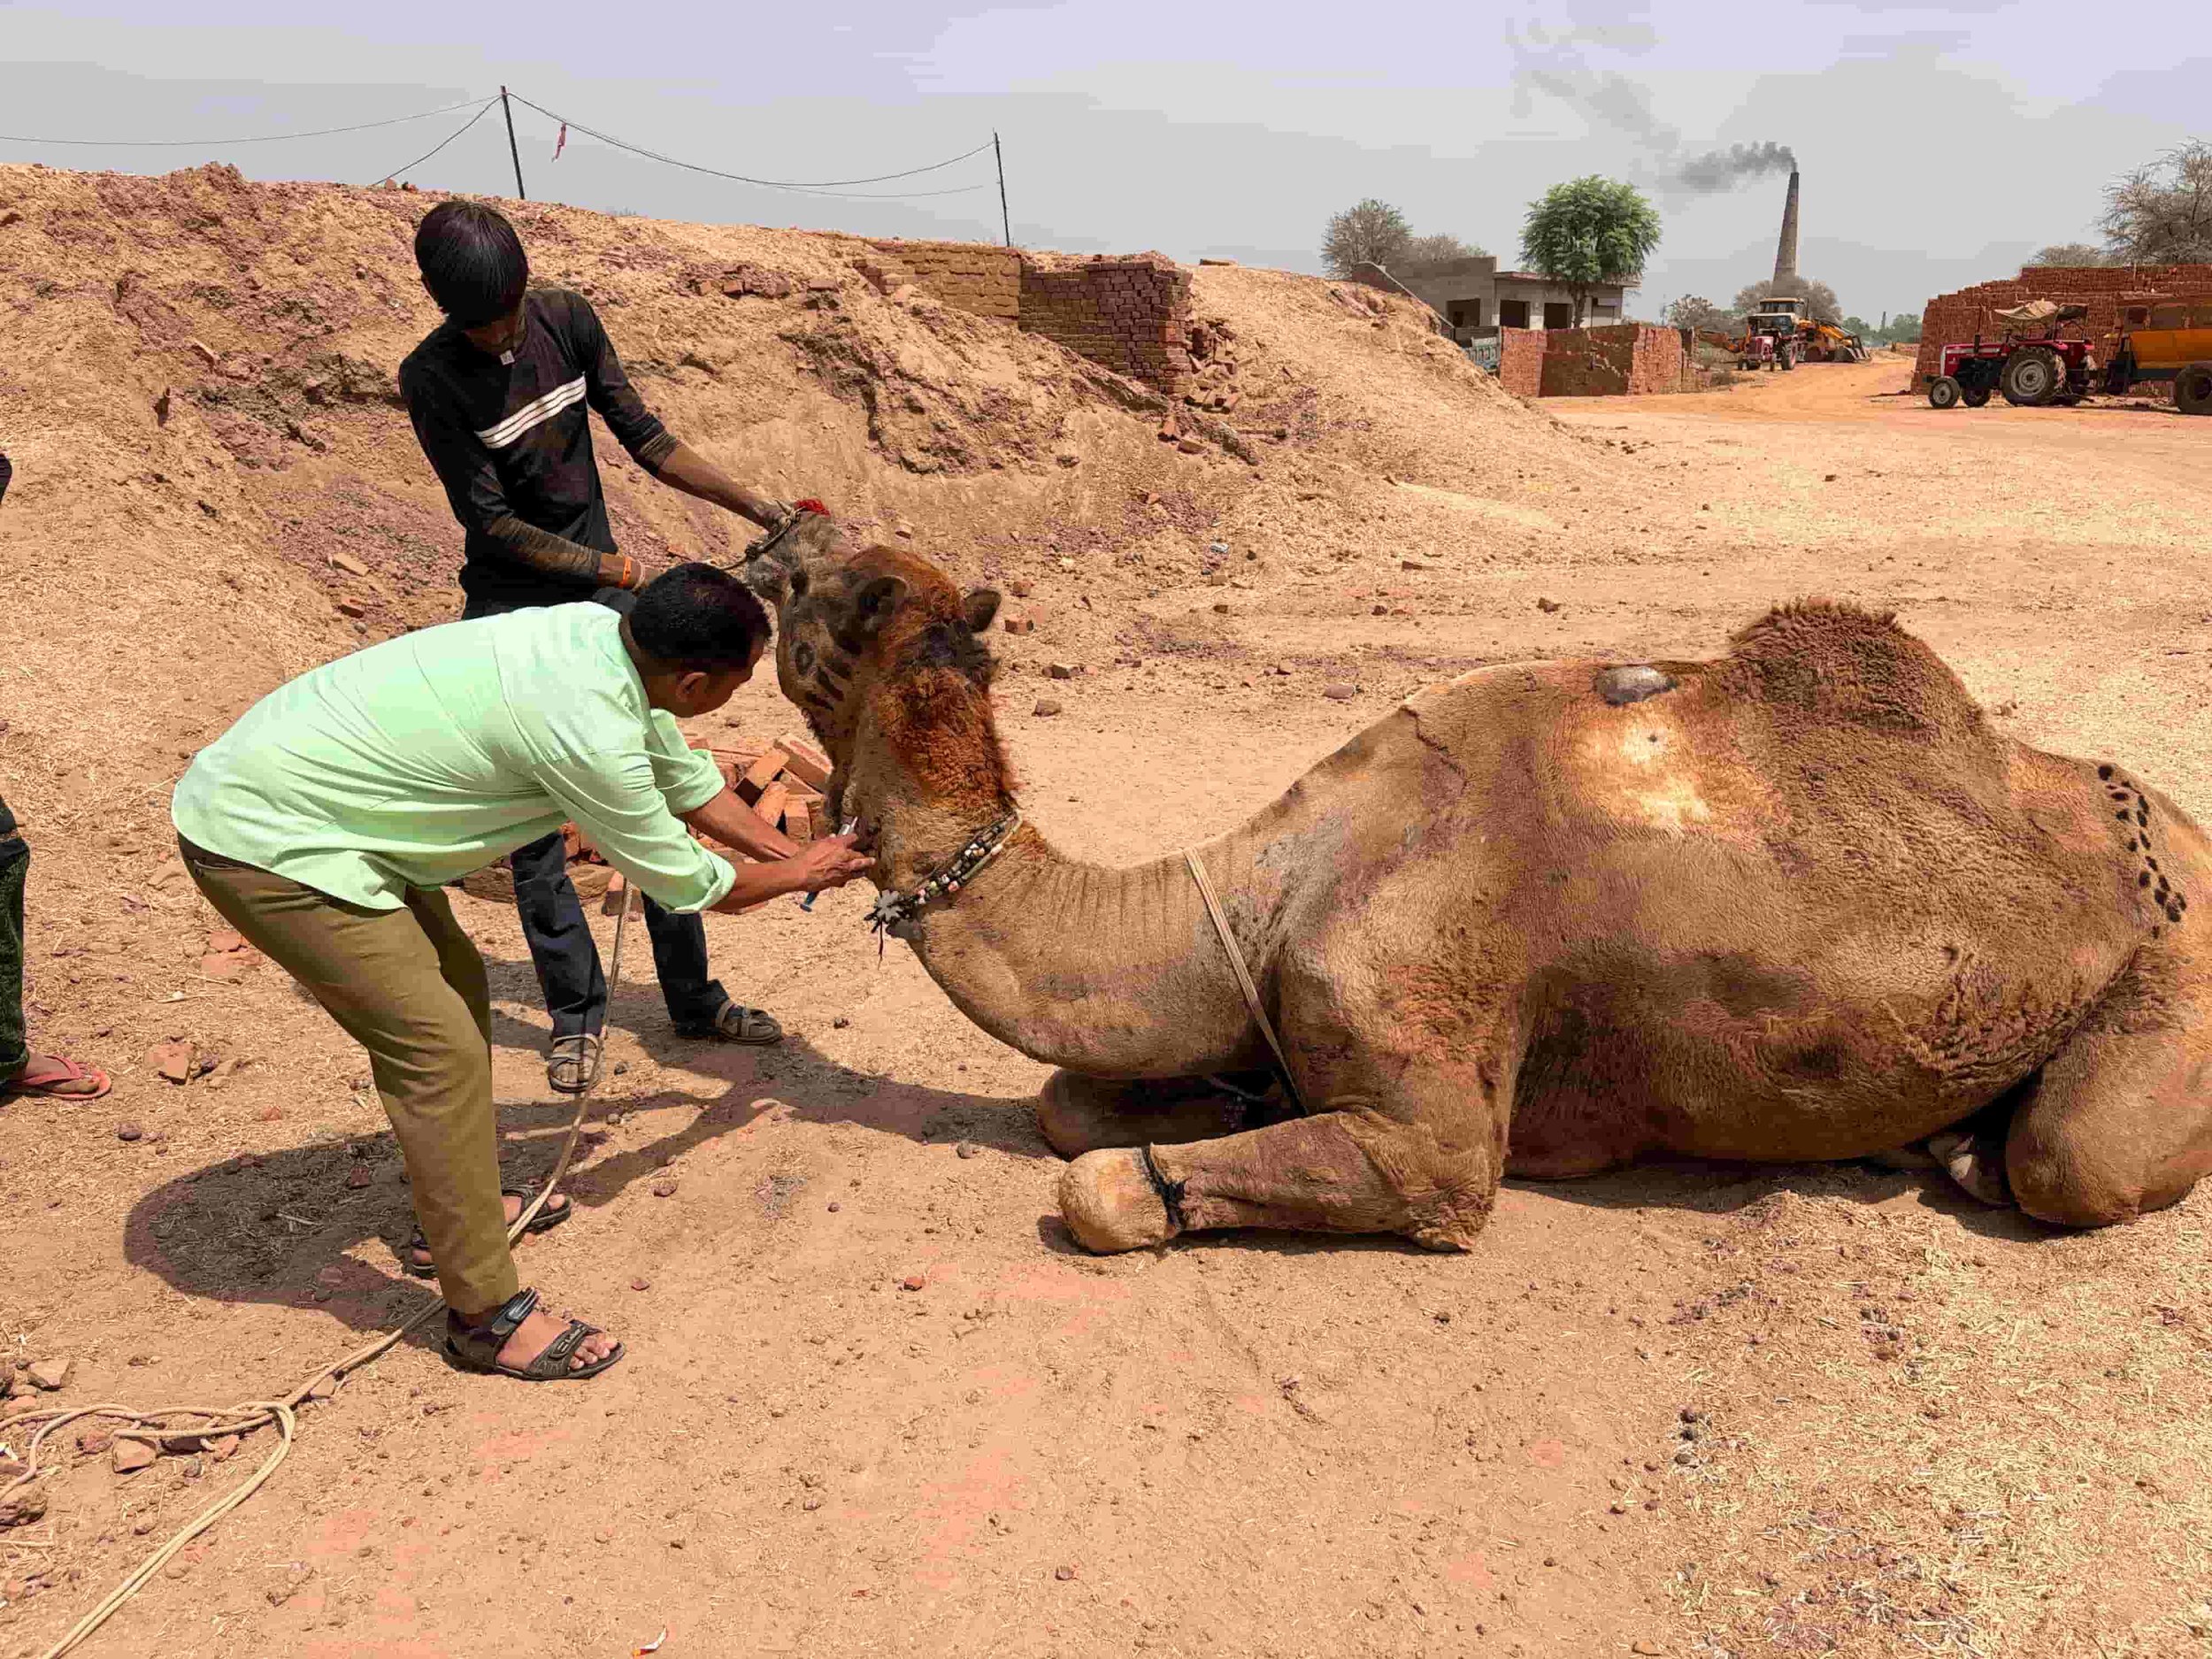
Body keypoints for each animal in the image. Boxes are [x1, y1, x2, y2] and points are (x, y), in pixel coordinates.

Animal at [742, 516, 2212, 1254]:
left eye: (820, 585)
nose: (766, 543)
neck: (1262, 889)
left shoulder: (1427, 1109)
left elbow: (1103, 1182)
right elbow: (1066, 1102)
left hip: (2176, 976)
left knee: (2074, 1158)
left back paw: (1979, 1153)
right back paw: (1944, 1141)